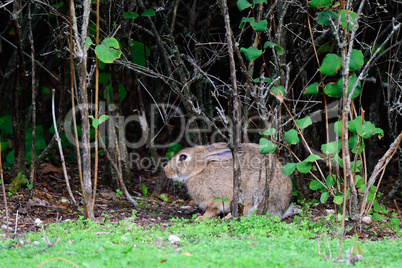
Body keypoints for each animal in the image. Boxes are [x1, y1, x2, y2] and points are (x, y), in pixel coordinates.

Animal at [163, 142, 292, 220]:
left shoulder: (214, 198)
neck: (199, 170)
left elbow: (211, 210)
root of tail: (282, 209)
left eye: (182, 157)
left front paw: (201, 218)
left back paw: (228, 217)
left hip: (256, 190)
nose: (165, 170)